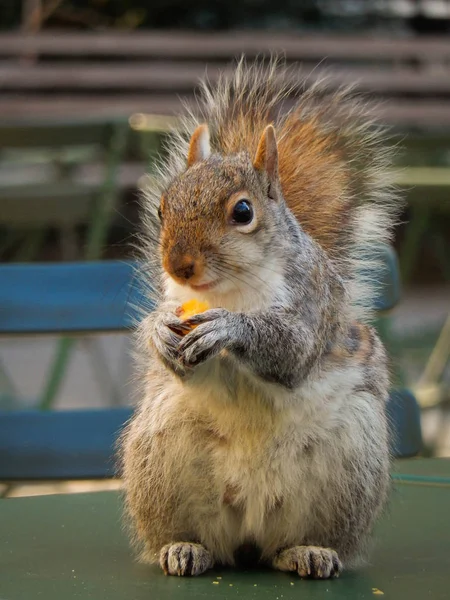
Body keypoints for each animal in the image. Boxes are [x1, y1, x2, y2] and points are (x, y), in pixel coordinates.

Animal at [120, 58, 400, 580]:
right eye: (163, 207)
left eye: (243, 212)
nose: (178, 265)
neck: (229, 289)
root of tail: (251, 531)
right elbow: (167, 343)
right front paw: (158, 331)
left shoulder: (311, 301)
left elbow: (290, 349)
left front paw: (229, 328)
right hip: (159, 457)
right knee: (200, 538)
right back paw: (185, 547)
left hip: (351, 463)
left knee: (295, 543)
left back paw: (308, 551)